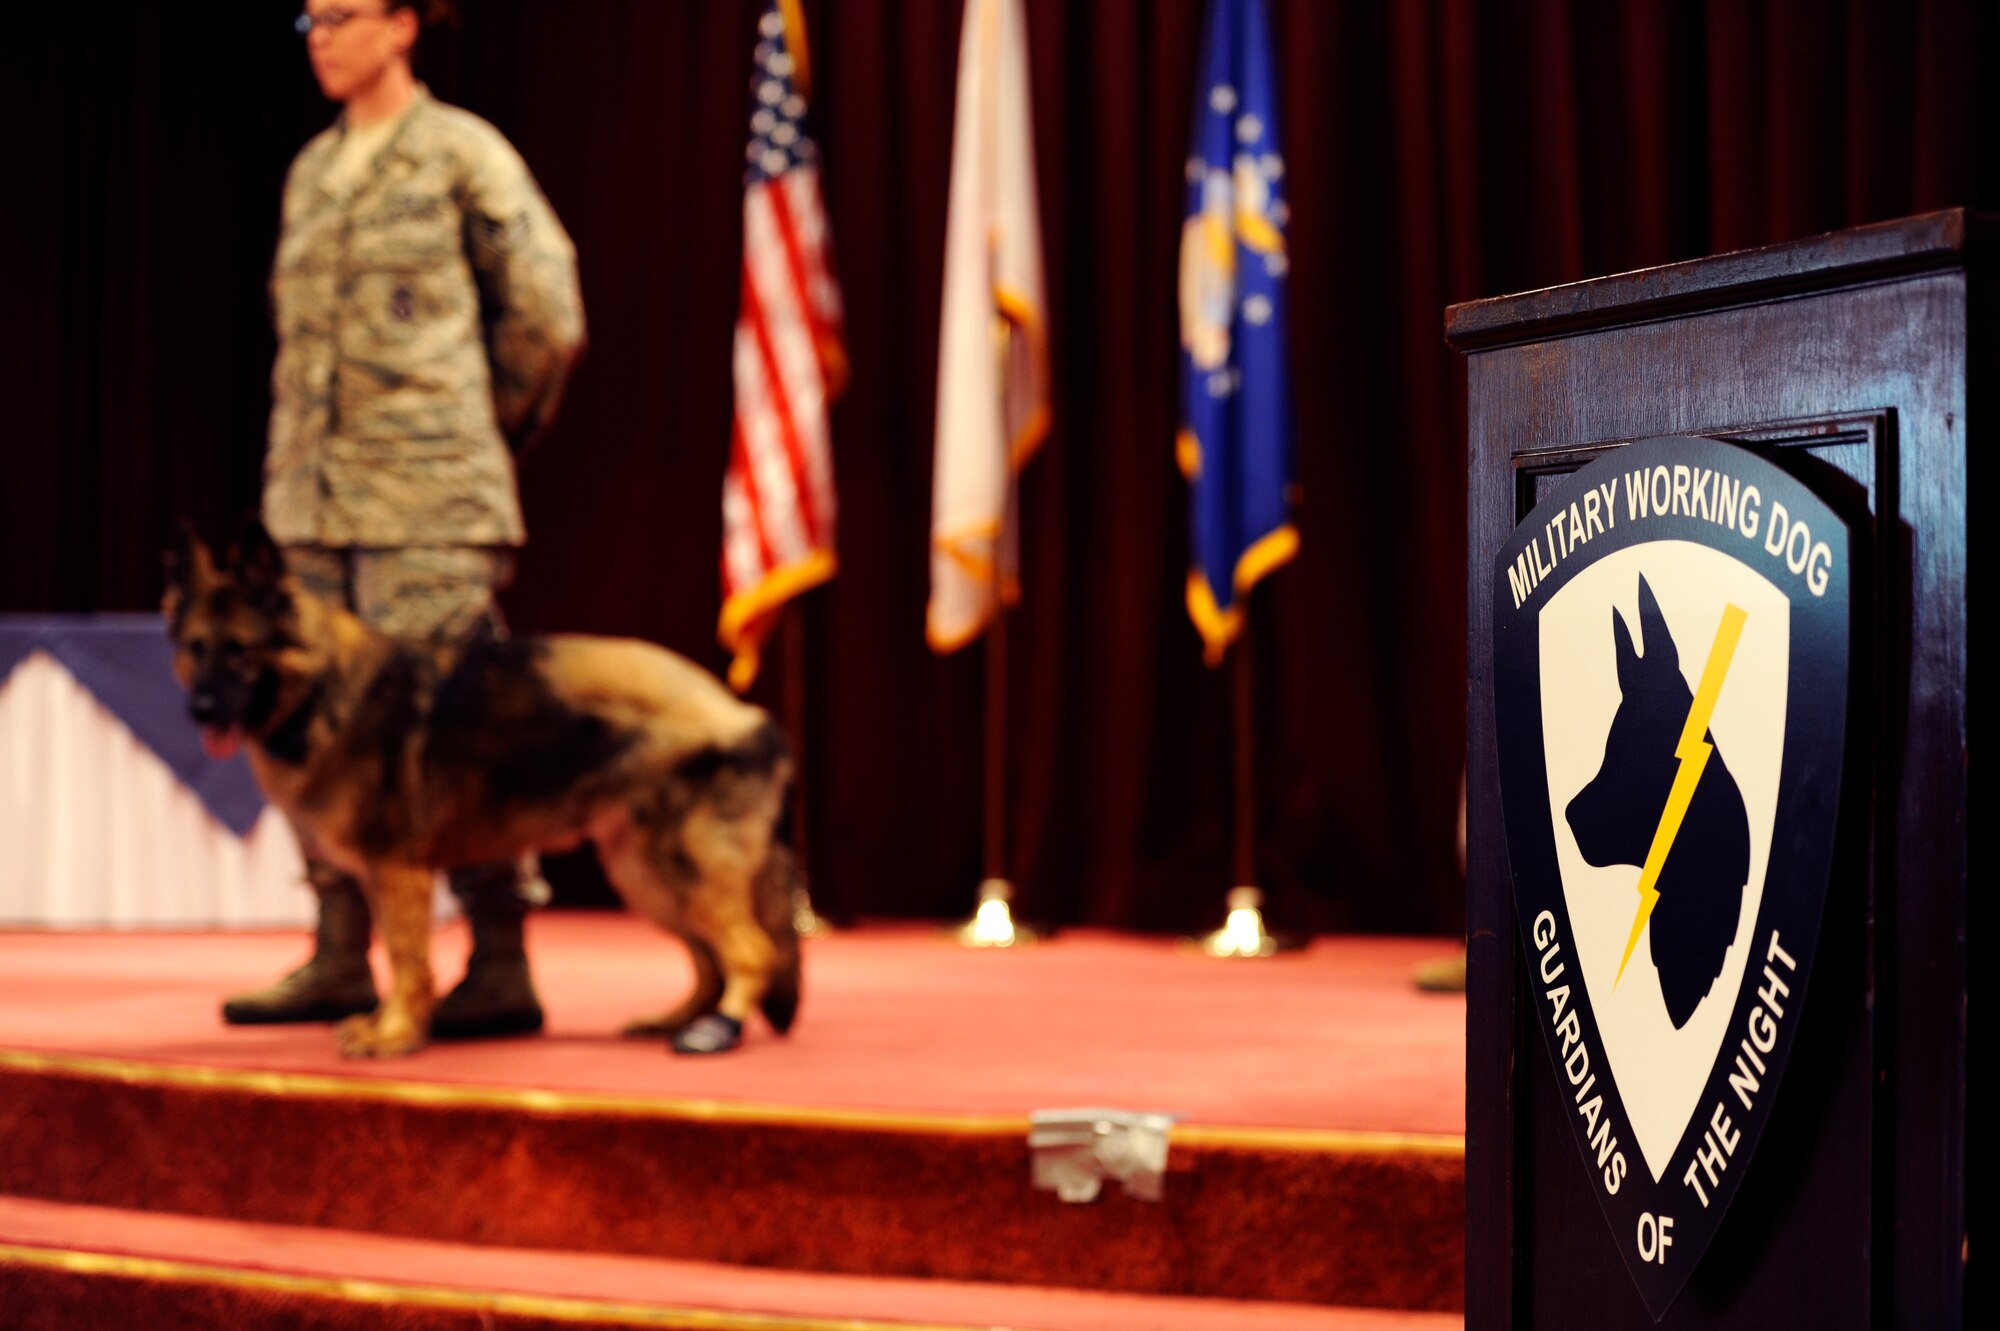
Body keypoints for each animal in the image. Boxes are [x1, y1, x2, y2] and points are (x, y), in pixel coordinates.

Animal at [164, 523, 800, 1055]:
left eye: (241, 650)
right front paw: (390, 1026)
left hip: (681, 869)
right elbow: (396, 952)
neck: (327, 689)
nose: (198, 711)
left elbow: (408, 960)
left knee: (753, 951)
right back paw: (679, 1019)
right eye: (196, 648)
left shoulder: (399, 873)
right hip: (647, 876)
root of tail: (743, 711)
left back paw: (719, 1029)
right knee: (710, 959)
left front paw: (395, 1035)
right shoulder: (381, 876)